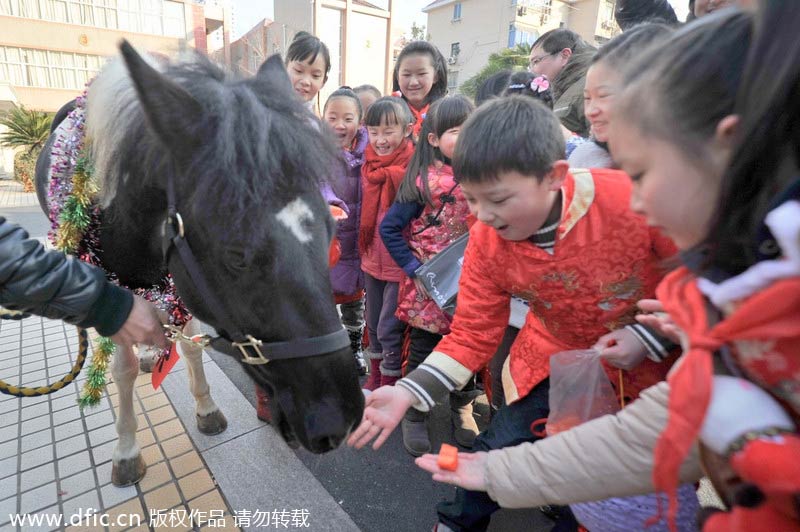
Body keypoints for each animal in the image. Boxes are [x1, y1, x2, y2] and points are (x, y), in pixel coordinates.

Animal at [36, 42, 362, 486]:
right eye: (236, 254)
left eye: (331, 230)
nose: (340, 420)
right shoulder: (111, 289)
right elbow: (121, 370)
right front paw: (126, 449)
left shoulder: (181, 284)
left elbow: (190, 348)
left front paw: (206, 408)